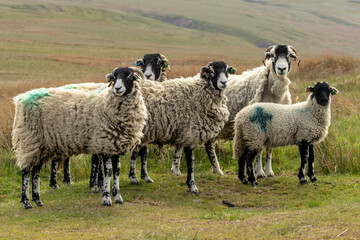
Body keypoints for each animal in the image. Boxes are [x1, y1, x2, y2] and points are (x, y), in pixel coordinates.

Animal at [12, 66, 148, 209]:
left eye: (129, 76)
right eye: (114, 77)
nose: (117, 88)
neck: (106, 103)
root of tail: (21, 98)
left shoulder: (115, 146)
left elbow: (117, 171)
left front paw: (117, 197)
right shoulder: (104, 144)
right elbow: (109, 171)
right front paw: (106, 198)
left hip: (42, 146)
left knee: (36, 171)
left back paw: (37, 200)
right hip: (29, 140)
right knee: (26, 171)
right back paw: (26, 202)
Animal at [47, 53, 170, 190]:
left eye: (158, 63)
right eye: (143, 63)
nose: (148, 75)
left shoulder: (142, 132)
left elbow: (143, 153)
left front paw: (145, 177)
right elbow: (133, 154)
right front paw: (133, 177)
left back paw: (68, 180)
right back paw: (55, 184)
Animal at [170, 44, 300, 176]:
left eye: (289, 55)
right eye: (272, 55)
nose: (281, 68)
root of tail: (198, 77)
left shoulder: (275, 125)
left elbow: (269, 149)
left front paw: (269, 172)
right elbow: (259, 150)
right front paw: (259, 172)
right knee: (205, 144)